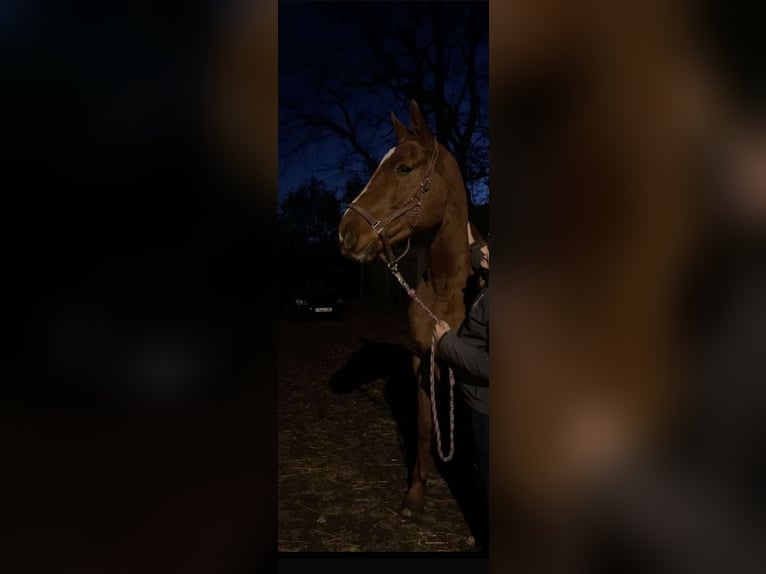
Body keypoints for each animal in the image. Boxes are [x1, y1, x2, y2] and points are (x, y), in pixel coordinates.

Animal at [340, 99, 474, 516]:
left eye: (404, 168)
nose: (345, 232)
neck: (447, 289)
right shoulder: (422, 360)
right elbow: (423, 427)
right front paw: (416, 492)